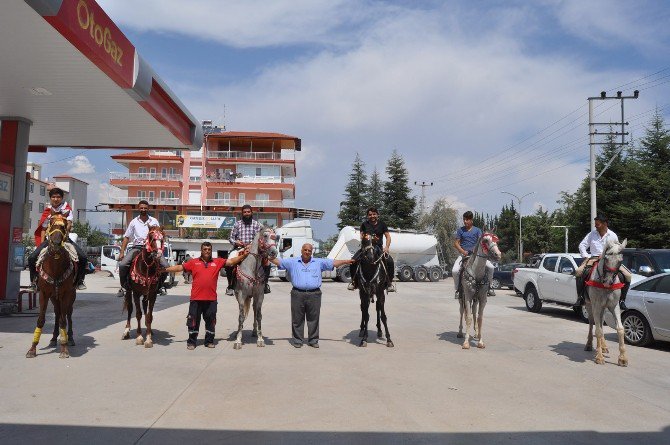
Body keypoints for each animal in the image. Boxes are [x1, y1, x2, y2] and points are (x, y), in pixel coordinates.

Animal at [25, 211, 78, 358]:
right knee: (57, 313)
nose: (56, 243)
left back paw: (70, 338)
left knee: (68, 315)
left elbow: (63, 320)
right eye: (51, 223)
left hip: (70, 297)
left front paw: (64, 349)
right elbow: (41, 319)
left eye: (64, 226)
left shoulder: (65, 294)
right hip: (54, 298)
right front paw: (32, 349)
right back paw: (54, 338)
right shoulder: (44, 294)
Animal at [584, 238, 632, 366]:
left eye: (620, 261)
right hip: (590, 306)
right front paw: (599, 357)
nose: (608, 281)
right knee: (592, 323)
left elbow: (620, 329)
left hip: (603, 309)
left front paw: (623, 358)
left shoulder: (614, 306)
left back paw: (603, 346)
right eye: (606, 258)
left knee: (600, 322)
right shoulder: (596, 306)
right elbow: (598, 330)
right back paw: (589, 345)